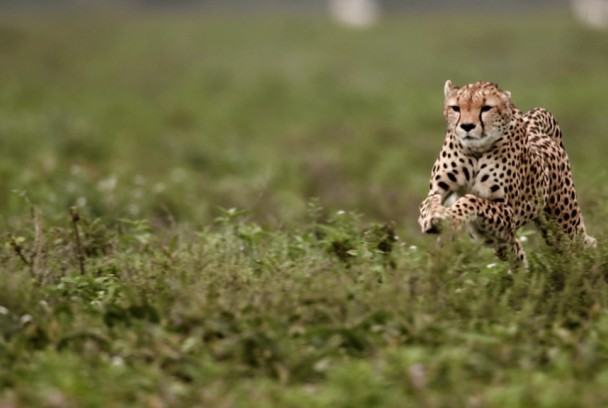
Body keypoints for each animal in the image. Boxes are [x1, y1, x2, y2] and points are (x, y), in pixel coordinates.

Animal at [418, 79, 592, 268]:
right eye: (456, 108)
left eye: (486, 108)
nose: (467, 126)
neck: (476, 151)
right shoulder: (438, 190)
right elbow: (429, 203)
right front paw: (433, 218)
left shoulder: (509, 212)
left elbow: (471, 199)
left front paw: (451, 217)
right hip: (496, 237)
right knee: (516, 253)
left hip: (563, 222)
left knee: (584, 244)